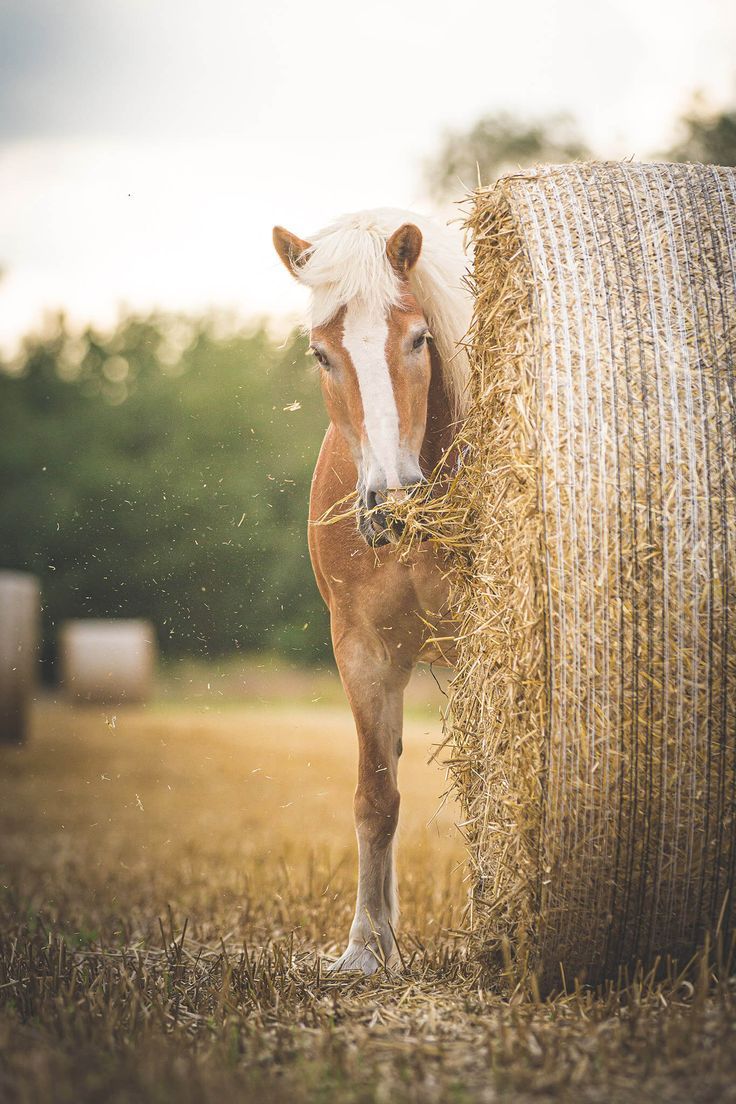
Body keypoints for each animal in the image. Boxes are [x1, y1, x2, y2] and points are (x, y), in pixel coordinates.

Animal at [272, 209, 471, 973]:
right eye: (321, 354)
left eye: (418, 339)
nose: (389, 501)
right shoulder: (363, 649)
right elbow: (375, 796)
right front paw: (366, 948)